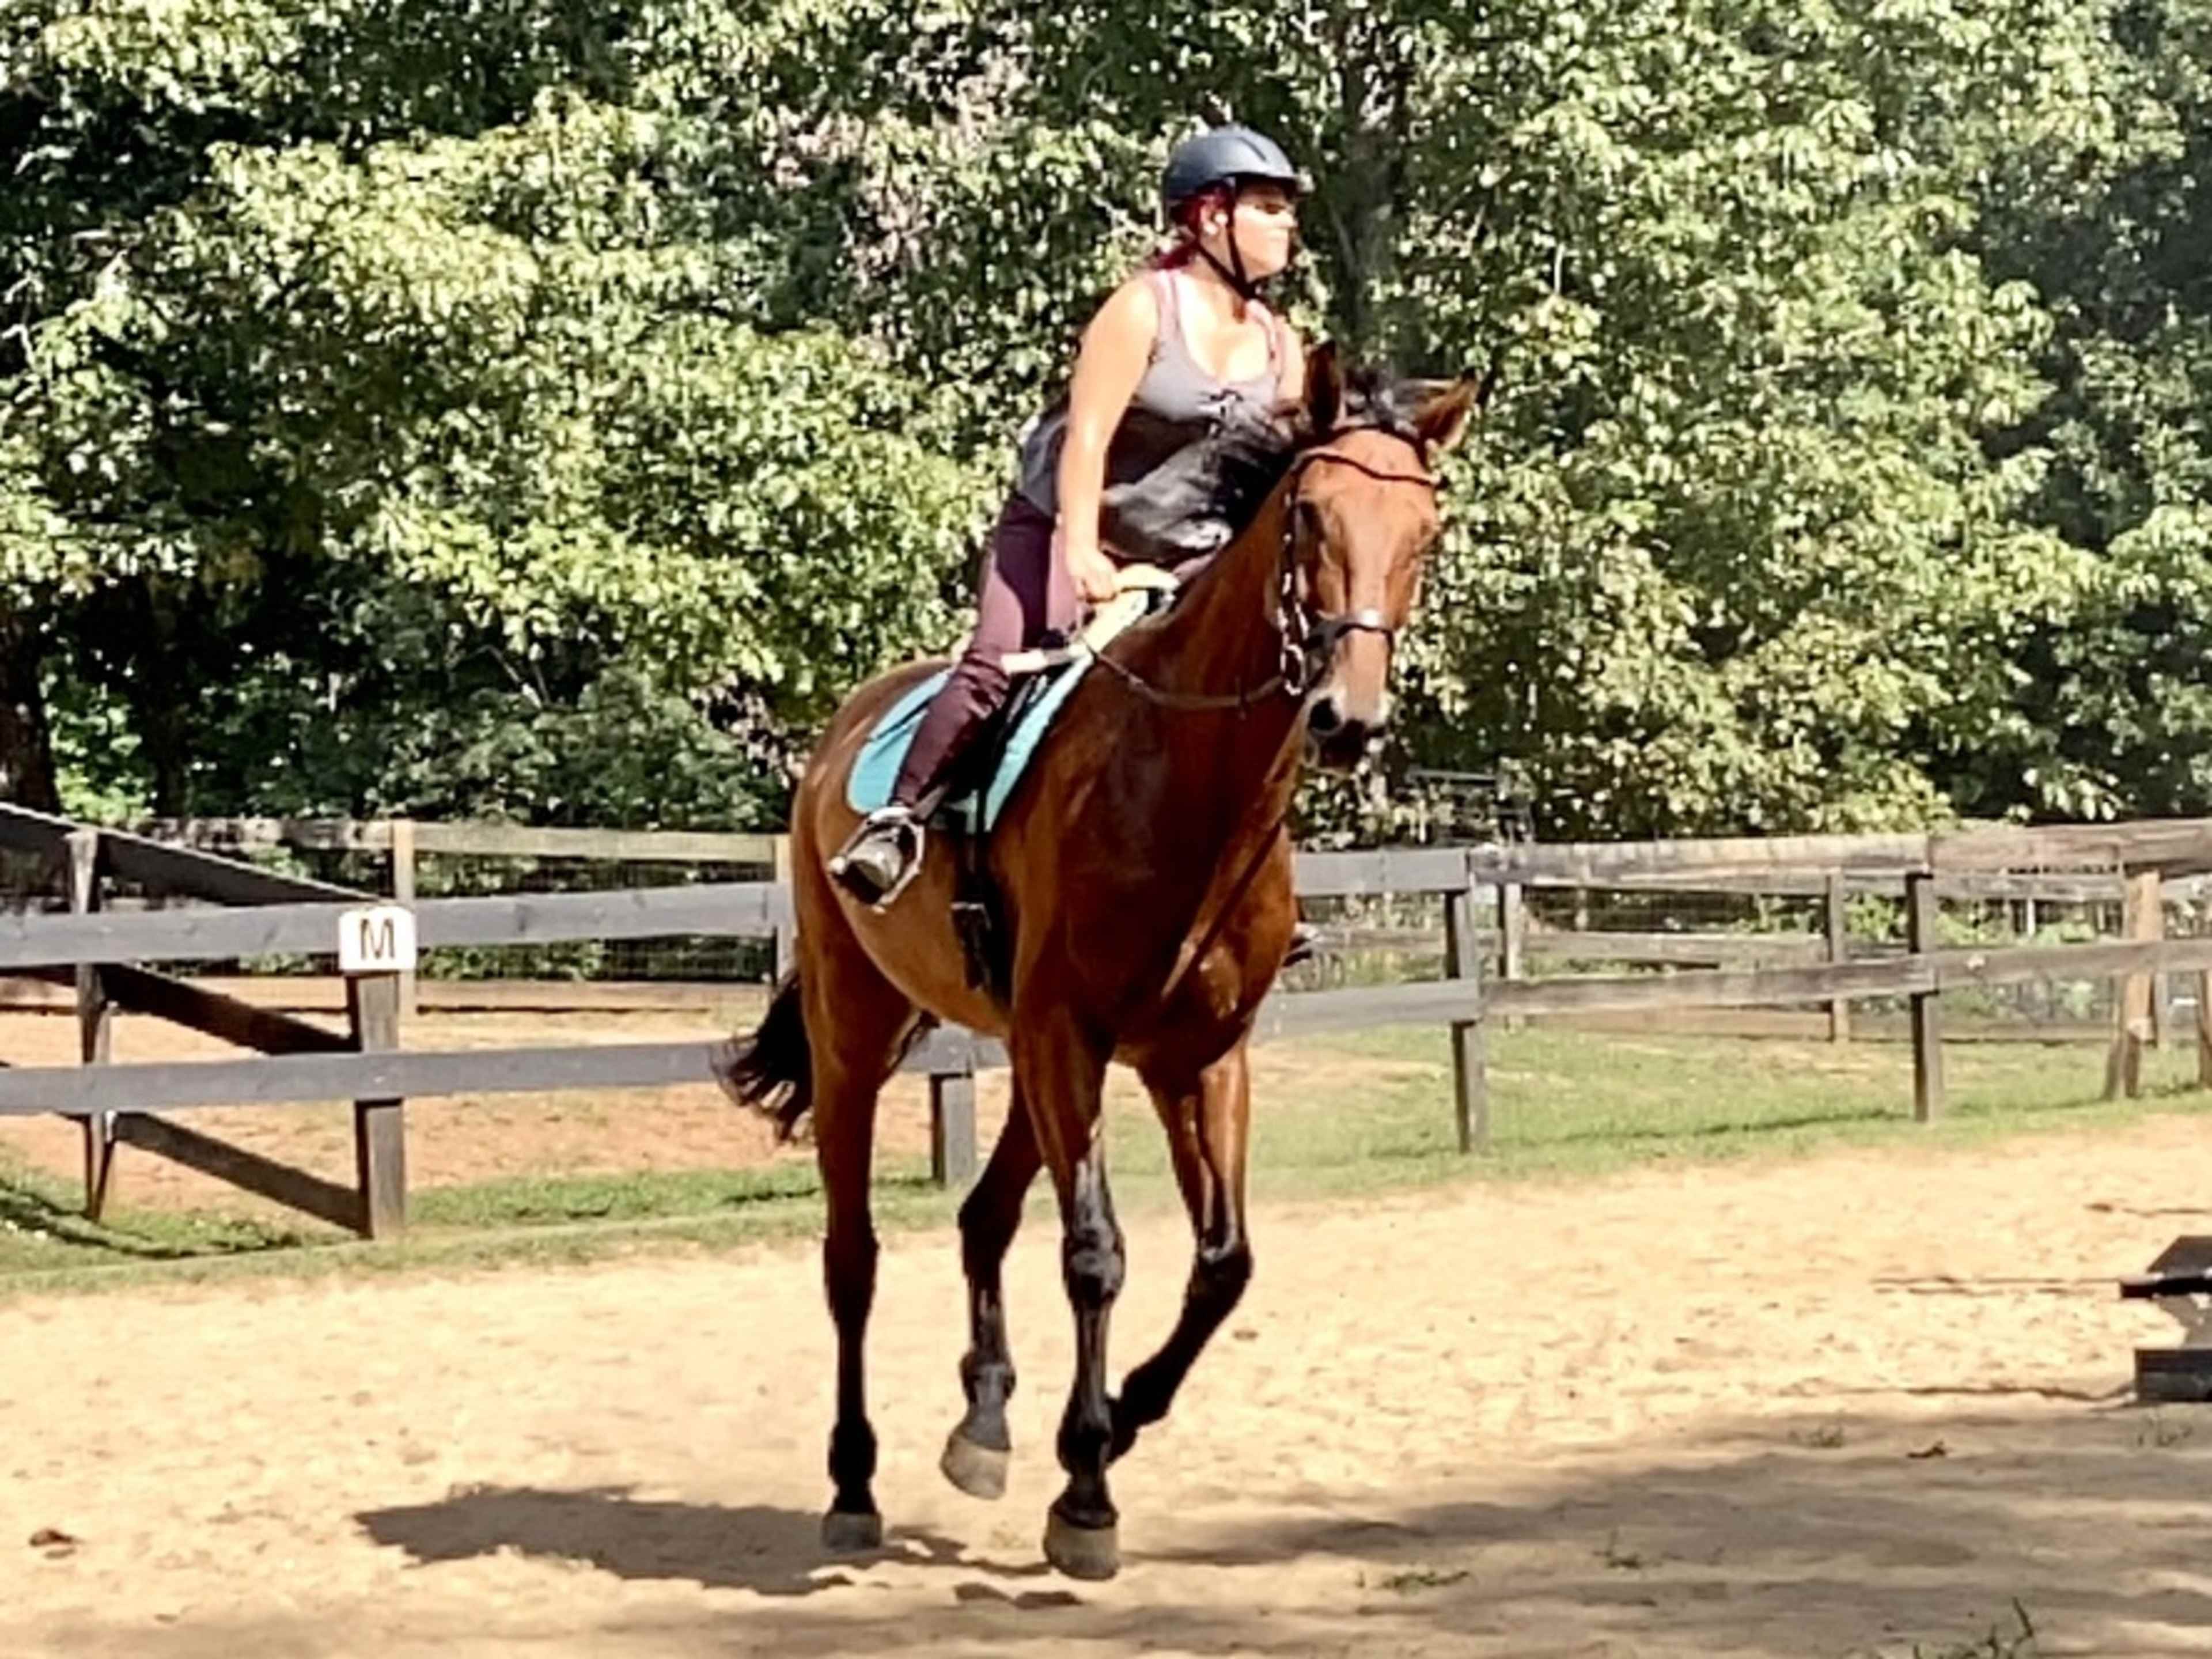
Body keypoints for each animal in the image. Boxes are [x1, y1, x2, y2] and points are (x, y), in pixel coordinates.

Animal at [720, 344, 1480, 1581]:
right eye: (1309, 517)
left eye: (1425, 531)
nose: (1348, 718)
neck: (1188, 778)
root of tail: (841, 732)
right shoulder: (1072, 1036)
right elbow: (1095, 1255)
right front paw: (1084, 1496)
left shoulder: (1193, 1057)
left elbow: (1223, 1263)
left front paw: (1114, 1424)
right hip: (862, 1035)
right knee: (853, 1257)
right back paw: (854, 1482)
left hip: (1032, 1060)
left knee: (982, 1218)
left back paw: (983, 1424)